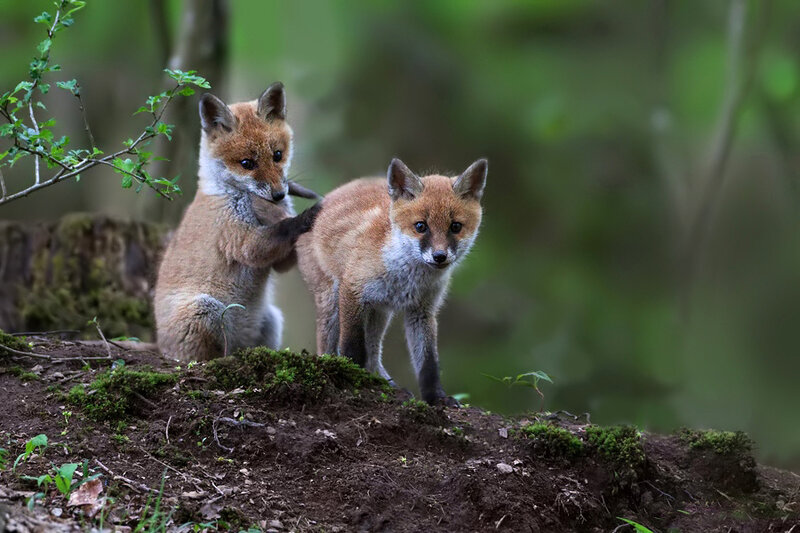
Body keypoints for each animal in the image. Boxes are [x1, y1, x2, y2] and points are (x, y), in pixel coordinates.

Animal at [155, 82, 321, 362]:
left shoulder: (279, 261)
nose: (279, 195)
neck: (231, 195)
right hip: (205, 310)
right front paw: (309, 214)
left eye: (278, 155)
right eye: (247, 163)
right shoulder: (236, 238)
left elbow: (283, 256)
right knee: (207, 356)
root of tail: (159, 345)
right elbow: (277, 231)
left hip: (272, 319)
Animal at [296, 157, 488, 404]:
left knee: (374, 353)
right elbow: (352, 347)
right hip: (332, 302)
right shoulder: (352, 290)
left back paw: (384, 383)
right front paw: (350, 378)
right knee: (329, 346)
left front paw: (437, 398)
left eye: (455, 227)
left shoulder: (422, 311)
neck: (406, 278)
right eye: (420, 226)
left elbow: (428, 363)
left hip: (379, 312)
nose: (439, 256)